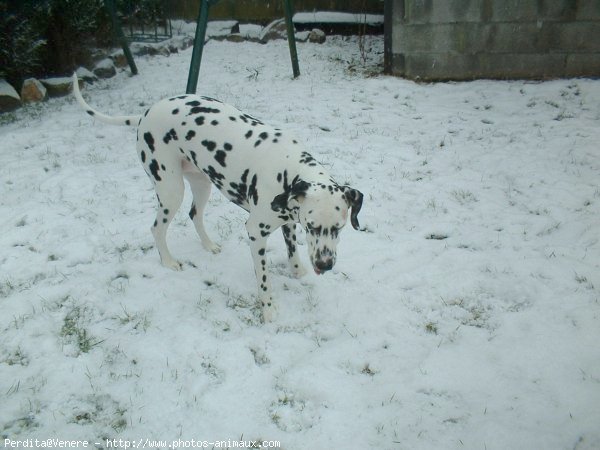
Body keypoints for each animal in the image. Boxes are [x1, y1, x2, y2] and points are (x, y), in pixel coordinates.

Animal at [72, 73, 364, 320]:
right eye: (312, 227)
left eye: (339, 228)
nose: (325, 264)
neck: (288, 167)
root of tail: (146, 112)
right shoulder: (256, 232)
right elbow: (264, 279)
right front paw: (268, 310)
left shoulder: (289, 220)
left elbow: (292, 251)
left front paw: (298, 272)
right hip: (170, 189)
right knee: (157, 228)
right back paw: (168, 261)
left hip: (202, 184)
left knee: (194, 214)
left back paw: (209, 245)